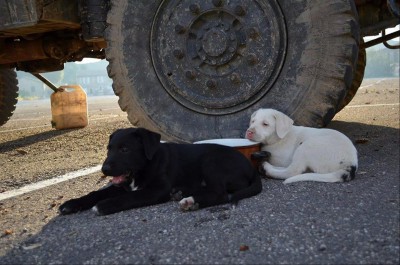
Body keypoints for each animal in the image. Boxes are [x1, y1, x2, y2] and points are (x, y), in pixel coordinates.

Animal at [57, 127, 260, 214]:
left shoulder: (157, 189)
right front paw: (72, 203)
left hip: (212, 161)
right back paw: (180, 193)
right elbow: (96, 193)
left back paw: (190, 201)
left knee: (220, 193)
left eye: (125, 149)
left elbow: (132, 196)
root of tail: (251, 168)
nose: (104, 169)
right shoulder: (122, 185)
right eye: (109, 149)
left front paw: (106, 205)